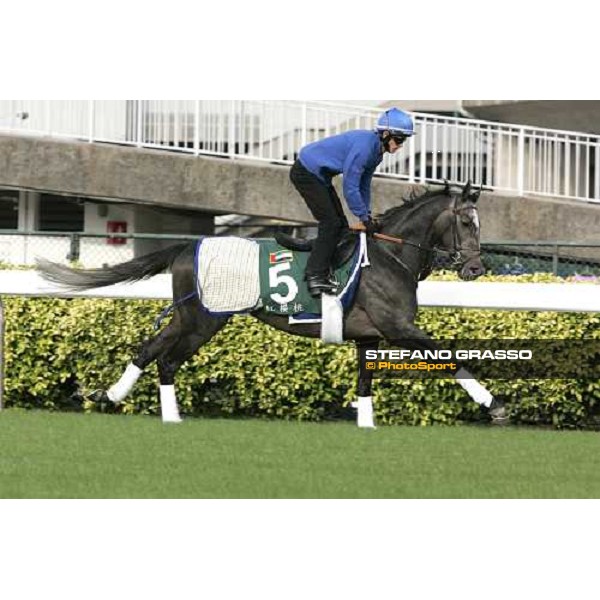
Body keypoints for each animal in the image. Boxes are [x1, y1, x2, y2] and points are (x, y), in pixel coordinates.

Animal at [36, 182, 506, 426]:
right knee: (164, 358)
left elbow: (365, 384)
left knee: (151, 351)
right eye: (467, 222)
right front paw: (495, 405)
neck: (390, 256)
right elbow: (450, 357)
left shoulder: (369, 336)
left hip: (190, 317)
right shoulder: (398, 328)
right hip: (204, 319)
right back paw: (162, 414)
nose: (476, 268)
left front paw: (366, 426)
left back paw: (114, 397)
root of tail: (187, 246)